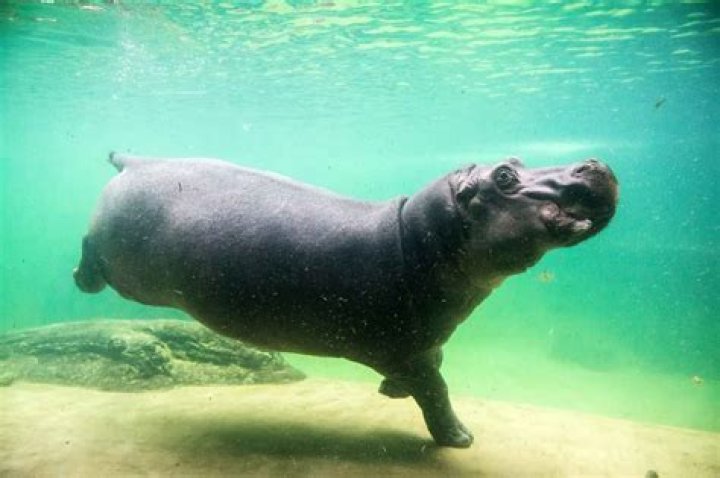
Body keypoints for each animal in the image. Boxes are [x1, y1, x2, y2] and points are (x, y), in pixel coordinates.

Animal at [74, 153, 618, 448]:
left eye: (518, 163)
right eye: (504, 176)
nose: (593, 163)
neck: (420, 236)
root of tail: (136, 161)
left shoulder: (425, 345)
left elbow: (433, 371)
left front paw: (390, 393)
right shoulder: (409, 350)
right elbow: (436, 391)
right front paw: (460, 438)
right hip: (129, 270)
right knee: (90, 253)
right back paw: (81, 281)